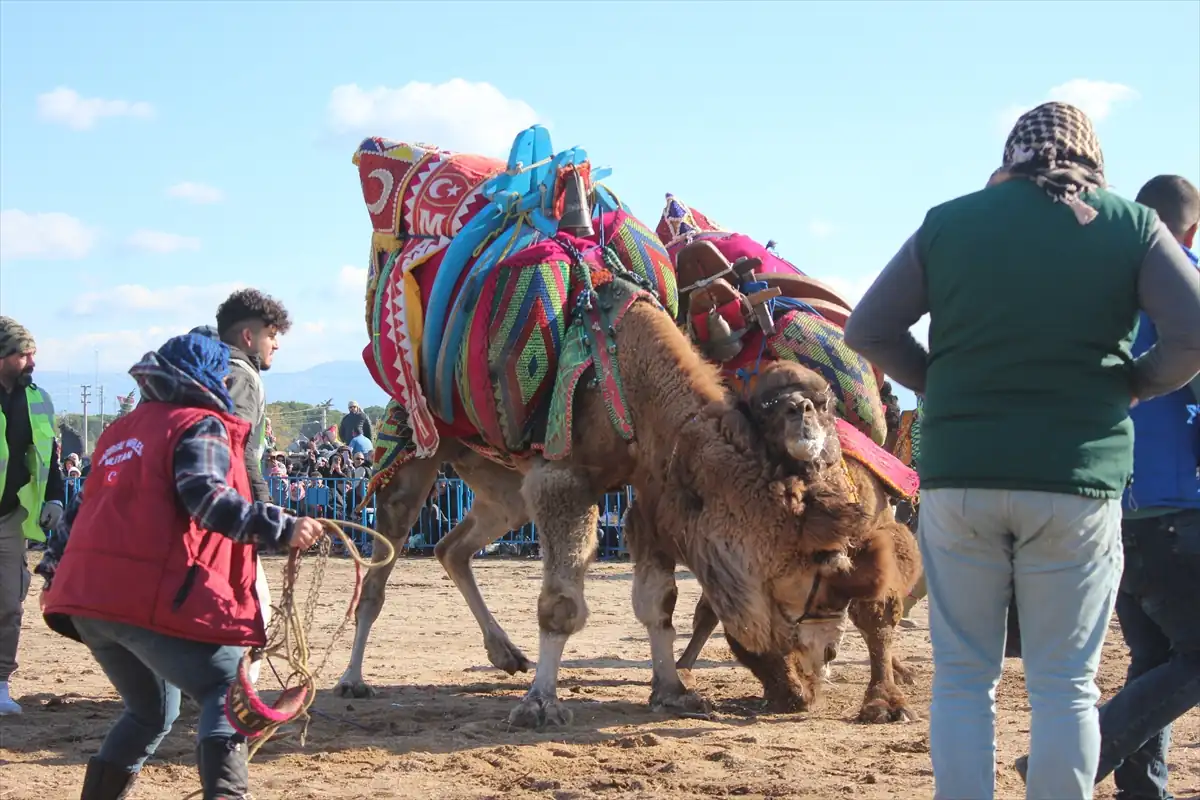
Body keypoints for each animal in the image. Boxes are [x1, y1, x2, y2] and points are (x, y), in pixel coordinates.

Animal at [333, 303, 902, 729]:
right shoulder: (562, 480)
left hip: (500, 487)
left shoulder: (649, 496)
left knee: (452, 546)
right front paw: (541, 704)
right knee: (382, 569)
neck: (632, 380)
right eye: (818, 578)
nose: (824, 661)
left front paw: (673, 690)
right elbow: (562, 605)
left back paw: (505, 653)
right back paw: (353, 679)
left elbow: (659, 601)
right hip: (414, 457)